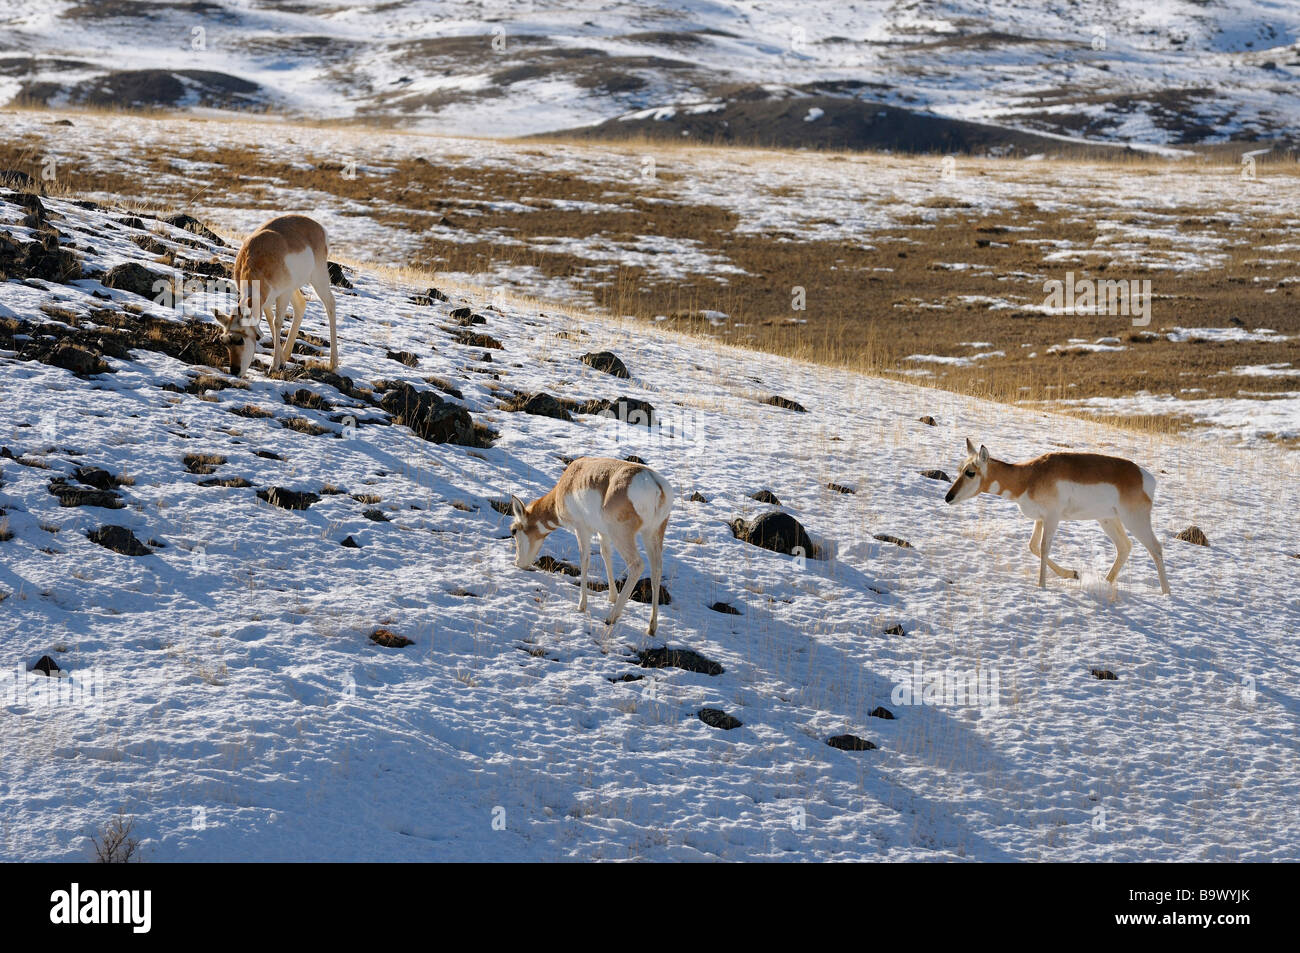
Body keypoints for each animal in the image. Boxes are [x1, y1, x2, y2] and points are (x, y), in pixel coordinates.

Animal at [213, 214, 338, 374]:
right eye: (224, 341)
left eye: (239, 339)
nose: (235, 371)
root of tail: (316, 225)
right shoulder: (266, 301)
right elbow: (270, 321)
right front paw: (280, 362)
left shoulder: (283, 294)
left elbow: (277, 322)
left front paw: (273, 366)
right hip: (295, 289)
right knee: (301, 305)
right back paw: (286, 355)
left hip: (317, 278)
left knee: (330, 303)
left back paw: (333, 363)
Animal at [506, 460, 676, 634]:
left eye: (514, 530)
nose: (518, 563)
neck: (568, 482)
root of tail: (656, 483)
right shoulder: (603, 533)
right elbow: (605, 554)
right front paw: (611, 597)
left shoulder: (581, 529)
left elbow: (584, 559)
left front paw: (581, 606)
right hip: (652, 534)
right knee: (656, 569)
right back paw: (651, 628)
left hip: (622, 534)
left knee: (637, 564)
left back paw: (611, 617)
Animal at [946, 439, 1170, 595]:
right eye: (959, 469)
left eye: (970, 472)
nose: (948, 497)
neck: (1028, 476)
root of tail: (1145, 477)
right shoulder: (1040, 519)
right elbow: (1033, 546)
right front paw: (1073, 573)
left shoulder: (1052, 518)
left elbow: (1044, 547)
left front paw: (1042, 586)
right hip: (1108, 520)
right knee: (1124, 547)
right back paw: (1104, 583)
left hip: (1134, 520)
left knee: (1155, 548)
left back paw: (1166, 593)